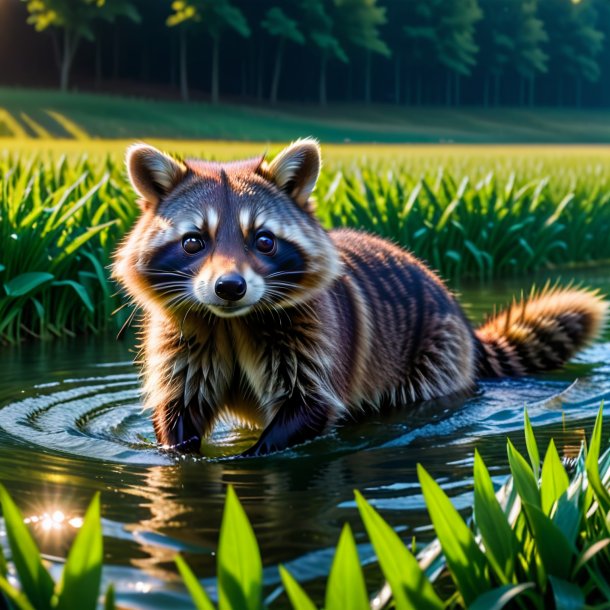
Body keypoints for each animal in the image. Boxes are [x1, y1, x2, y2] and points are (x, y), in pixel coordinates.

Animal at [111, 141, 604, 456]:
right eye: (194, 242)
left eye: (264, 241)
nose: (229, 287)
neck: (234, 319)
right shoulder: (184, 335)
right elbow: (179, 405)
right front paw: (179, 449)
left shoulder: (316, 338)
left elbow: (311, 404)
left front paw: (254, 455)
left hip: (435, 354)